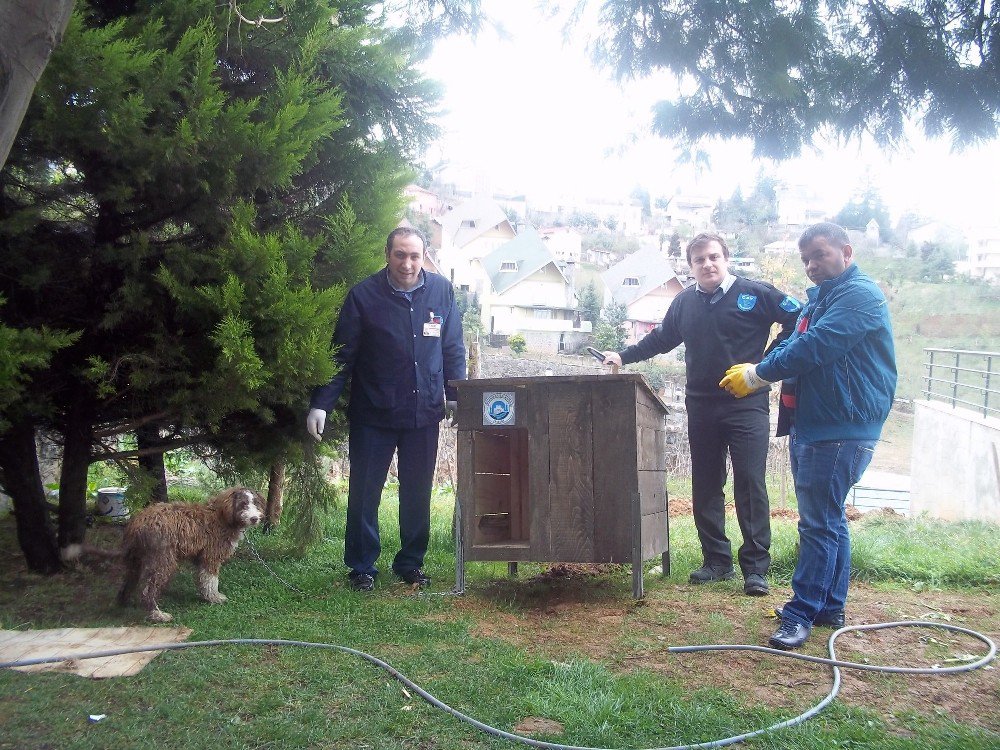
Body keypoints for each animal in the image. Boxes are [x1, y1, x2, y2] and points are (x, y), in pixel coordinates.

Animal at [116, 488, 264, 624]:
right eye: (243, 504)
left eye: (255, 503)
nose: (254, 519)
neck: (222, 517)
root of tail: (138, 522)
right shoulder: (211, 556)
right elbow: (211, 580)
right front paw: (214, 597)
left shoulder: (201, 558)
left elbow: (202, 579)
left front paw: (206, 596)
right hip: (162, 560)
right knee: (147, 590)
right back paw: (157, 615)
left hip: (135, 560)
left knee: (128, 581)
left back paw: (124, 603)